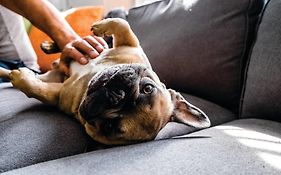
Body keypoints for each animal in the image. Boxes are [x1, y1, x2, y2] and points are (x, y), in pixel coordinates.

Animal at [0, 18, 209, 145]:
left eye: (110, 126)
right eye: (148, 89)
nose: (118, 95)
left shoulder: (58, 95)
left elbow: (36, 88)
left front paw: (21, 78)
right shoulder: (131, 45)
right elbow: (123, 24)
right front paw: (100, 27)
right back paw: (49, 46)